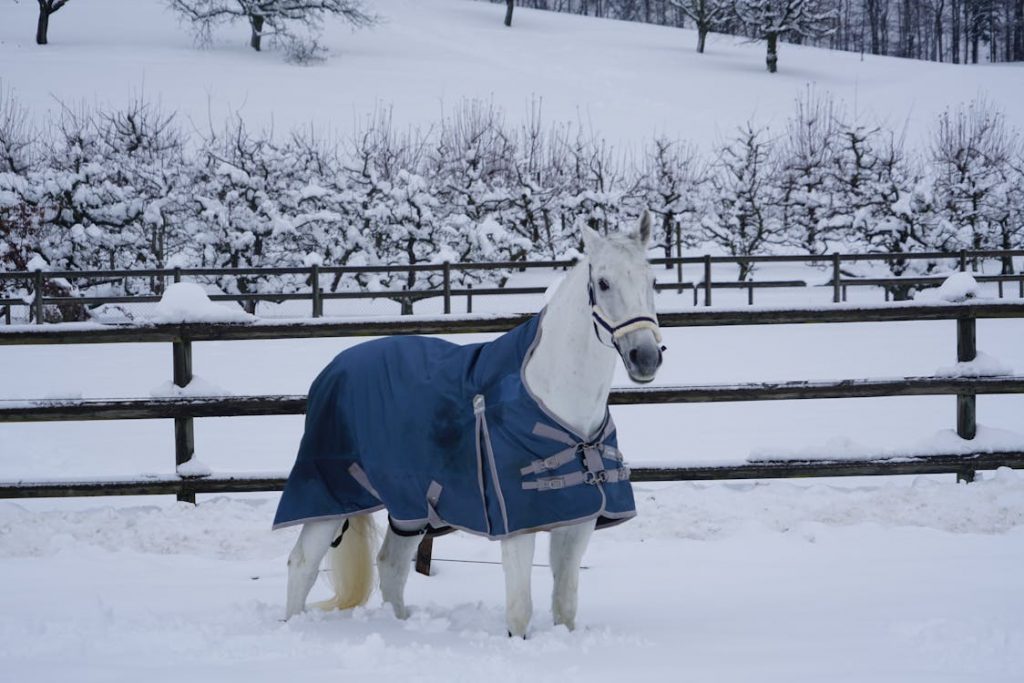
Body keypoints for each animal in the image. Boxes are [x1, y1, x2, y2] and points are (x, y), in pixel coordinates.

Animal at [276, 210, 667, 638]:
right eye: (604, 283)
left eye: (652, 281)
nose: (645, 356)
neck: (552, 398)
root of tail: (332, 370)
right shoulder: (517, 526)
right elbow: (519, 611)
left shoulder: (577, 523)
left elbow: (565, 607)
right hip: (329, 498)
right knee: (302, 564)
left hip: (409, 509)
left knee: (390, 565)